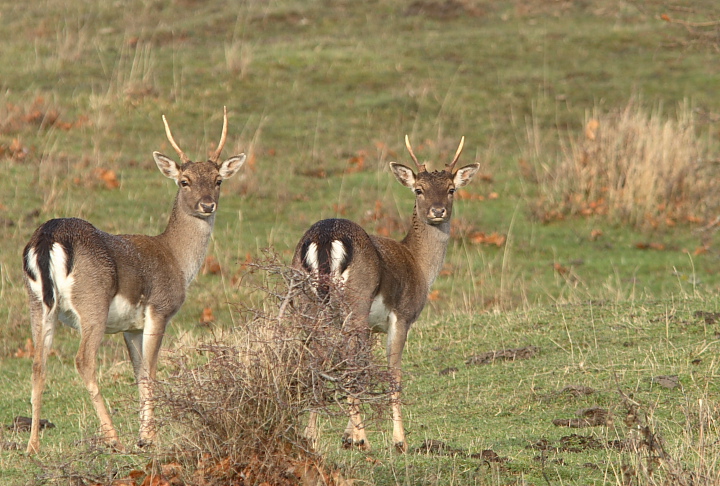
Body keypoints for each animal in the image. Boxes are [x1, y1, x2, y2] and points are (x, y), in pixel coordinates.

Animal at [22, 108, 248, 454]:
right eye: (184, 181)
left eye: (218, 179)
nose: (207, 204)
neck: (177, 259)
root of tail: (48, 237)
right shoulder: (160, 308)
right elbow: (151, 372)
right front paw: (148, 437)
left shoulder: (131, 327)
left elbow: (139, 373)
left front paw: (146, 433)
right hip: (93, 301)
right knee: (83, 360)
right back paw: (112, 437)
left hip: (38, 302)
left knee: (38, 364)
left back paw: (33, 445)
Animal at [290, 136, 480, 452]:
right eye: (419, 189)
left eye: (451, 189)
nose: (437, 210)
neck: (419, 266)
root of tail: (325, 238)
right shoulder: (402, 315)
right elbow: (393, 373)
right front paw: (397, 440)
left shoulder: (372, 326)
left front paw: (347, 434)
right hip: (355, 300)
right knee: (348, 362)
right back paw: (363, 439)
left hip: (307, 300)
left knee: (314, 358)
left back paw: (311, 436)